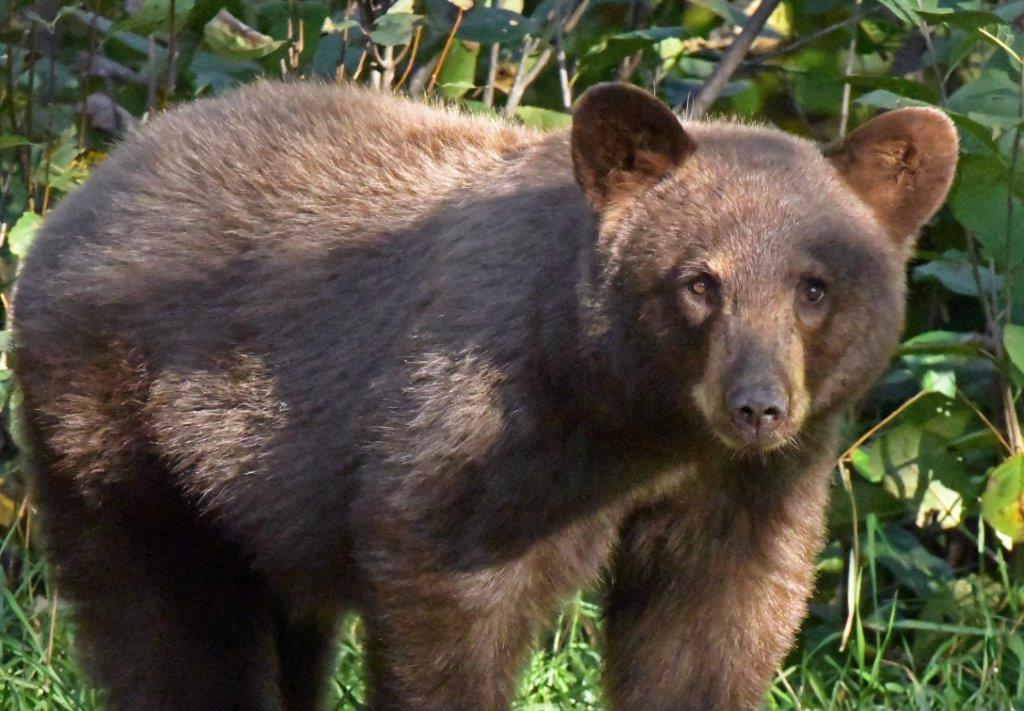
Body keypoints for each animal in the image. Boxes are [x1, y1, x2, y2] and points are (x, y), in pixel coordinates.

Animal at [11, 80, 958, 710]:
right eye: (699, 281)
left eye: (815, 286)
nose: (757, 406)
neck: (637, 422)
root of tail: (84, 195)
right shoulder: (485, 438)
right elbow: (448, 601)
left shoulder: (744, 488)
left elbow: (710, 629)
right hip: (128, 437)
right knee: (173, 628)